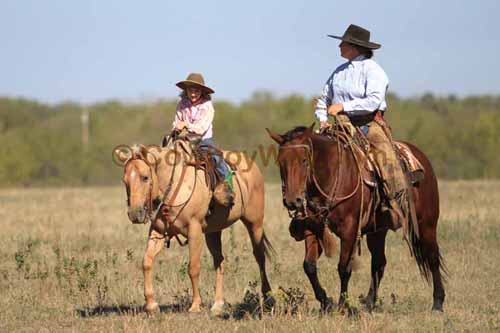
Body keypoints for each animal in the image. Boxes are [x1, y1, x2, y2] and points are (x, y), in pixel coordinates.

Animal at [114, 139, 274, 316]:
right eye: (125, 181)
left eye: (145, 177)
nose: (134, 214)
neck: (174, 187)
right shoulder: (158, 231)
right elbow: (147, 262)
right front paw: (151, 305)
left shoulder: (194, 230)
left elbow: (193, 267)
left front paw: (196, 305)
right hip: (213, 232)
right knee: (220, 261)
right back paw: (217, 305)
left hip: (255, 223)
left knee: (259, 256)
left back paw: (268, 297)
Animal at [268, 122, 448, 312]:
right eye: (281, 161)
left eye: (304, 160)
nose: (292, 201)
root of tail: (420, 157)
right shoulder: (313, 227)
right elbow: (309, 266)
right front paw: (326, 302)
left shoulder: (350, 230)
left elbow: (344, 268)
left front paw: (342, 306)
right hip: (378, 230)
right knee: (379, 262)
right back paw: (369, 302)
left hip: (426, 223)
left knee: (432, 257)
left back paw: (438, 302)